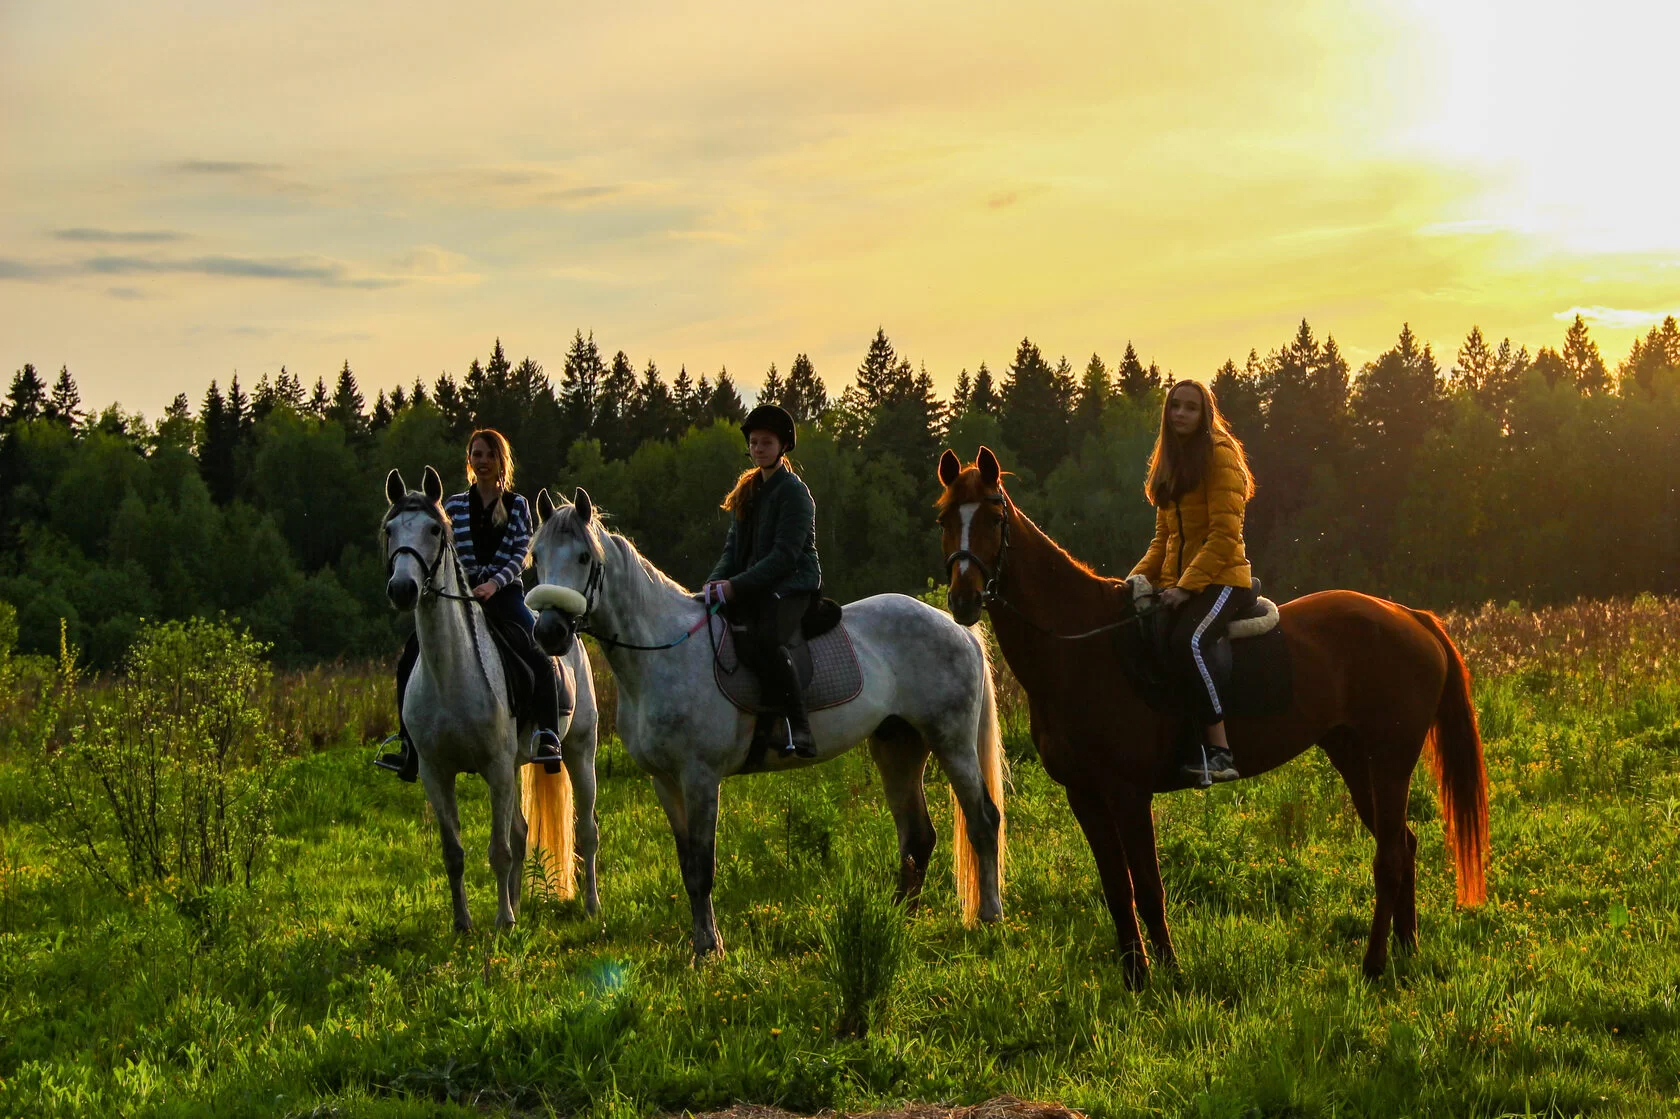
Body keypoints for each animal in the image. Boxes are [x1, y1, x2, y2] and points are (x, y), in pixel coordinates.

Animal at [381, 467, 604, 927]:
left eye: (434, 529)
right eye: (391, 529)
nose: (403, 589)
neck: (450, 675)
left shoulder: (497, 768)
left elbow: (499, 850)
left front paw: (503, 922)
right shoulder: (435, 773)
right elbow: (455, 852)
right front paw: (464, 923)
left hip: (579, 749)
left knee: (586, 831)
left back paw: (590, 906)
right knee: (521, 833)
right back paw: (517, 901)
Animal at [520, 483, 994, 954]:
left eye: (584, 557)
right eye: (537, 557)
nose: (549, 633)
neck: (662, 653)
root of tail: (955, 625)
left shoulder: (700, 777)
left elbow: (703, 867)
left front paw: (710, 950)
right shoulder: (665, 781)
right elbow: (687, 866)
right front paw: (701, 945)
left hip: (951, 741)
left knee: (983, 820)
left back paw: (988, 918)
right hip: (898, 744)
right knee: (918, 835)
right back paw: (900, 920)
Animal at [940, 446, 1491, 987]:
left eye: (993, 518)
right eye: (945, 517)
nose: (964, 599)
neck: (1084, 647)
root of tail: (1408, 616)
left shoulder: (1128, 792)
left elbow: (1148, 886)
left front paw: (1169, 975)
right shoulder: (1085, 795)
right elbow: (1117, 889)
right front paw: (1135, 978)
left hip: (1390, 760)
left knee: (1390, 856)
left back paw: (1375, 965)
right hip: (1355, 757)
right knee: (1404, 844)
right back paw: (1406, 950)